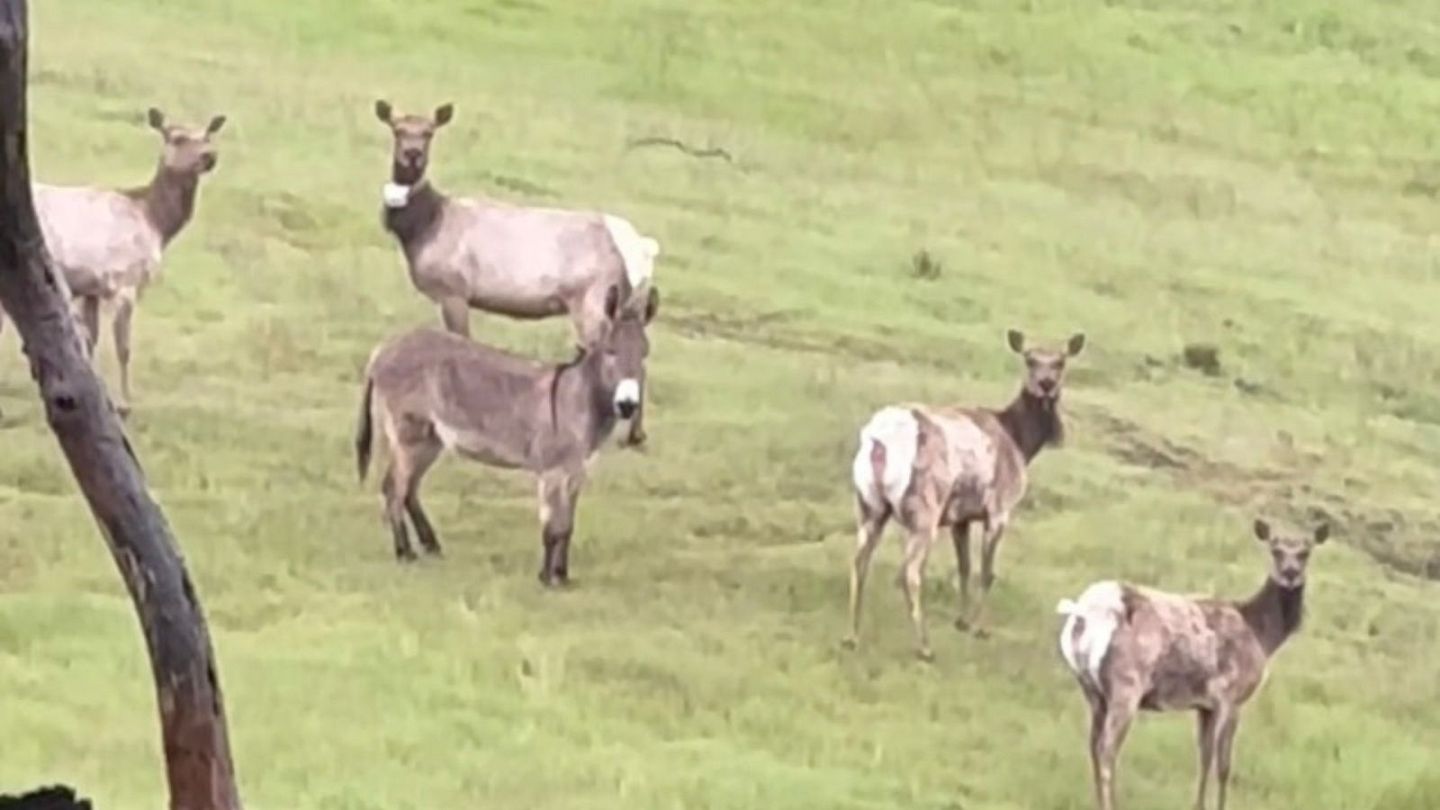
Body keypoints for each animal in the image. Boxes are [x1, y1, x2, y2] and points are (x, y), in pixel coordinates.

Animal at [354, 282, 659, 579]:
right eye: (610, 352)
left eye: (644, 354)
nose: (628, 405)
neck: (579, 400)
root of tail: (382, 350)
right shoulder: (553, 472)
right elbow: (553, 528)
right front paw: (547, 578)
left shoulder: (576, 472)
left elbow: (567, 526)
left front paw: (562, 576)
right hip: (409, 436)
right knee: (393, 488)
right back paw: (405, 553)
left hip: (430, 438)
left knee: (409, 489)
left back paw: (431, 546)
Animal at [374, 99, 659, 446]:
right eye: (397, 129)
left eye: (429, 132)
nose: (412, 154)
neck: (424, 228)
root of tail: (643, 249)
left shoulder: (454, 289)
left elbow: (462, 339)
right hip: (628, 303)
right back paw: (637, 432)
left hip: (593, 300)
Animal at [840, 328, 1082, 657]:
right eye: (1030, 360)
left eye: (1060, 361)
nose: (1046, 385)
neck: (1021, 442)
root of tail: (879, 442)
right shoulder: (999, 509)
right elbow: (987, 572)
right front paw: (980, 628)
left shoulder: (960, 517)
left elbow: (964, 567)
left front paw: (962, 621)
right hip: (924, 511)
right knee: (910, 572)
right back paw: (925, 646)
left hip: (869, 505)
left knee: (858, 562)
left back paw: (851, 636)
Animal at [1054, 515, 1330, 807]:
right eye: (1275, 549)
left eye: (1306, 551)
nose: (1290, 573)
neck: (1262, 635)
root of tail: (1084, 612)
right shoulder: (1231, 696)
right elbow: (1224, 766)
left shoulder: (1204, 705)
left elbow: (1204, 759)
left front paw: (1198, 805)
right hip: (1126, 684)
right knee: (1106, 750)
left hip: (1091, 689)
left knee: (1092, 746)